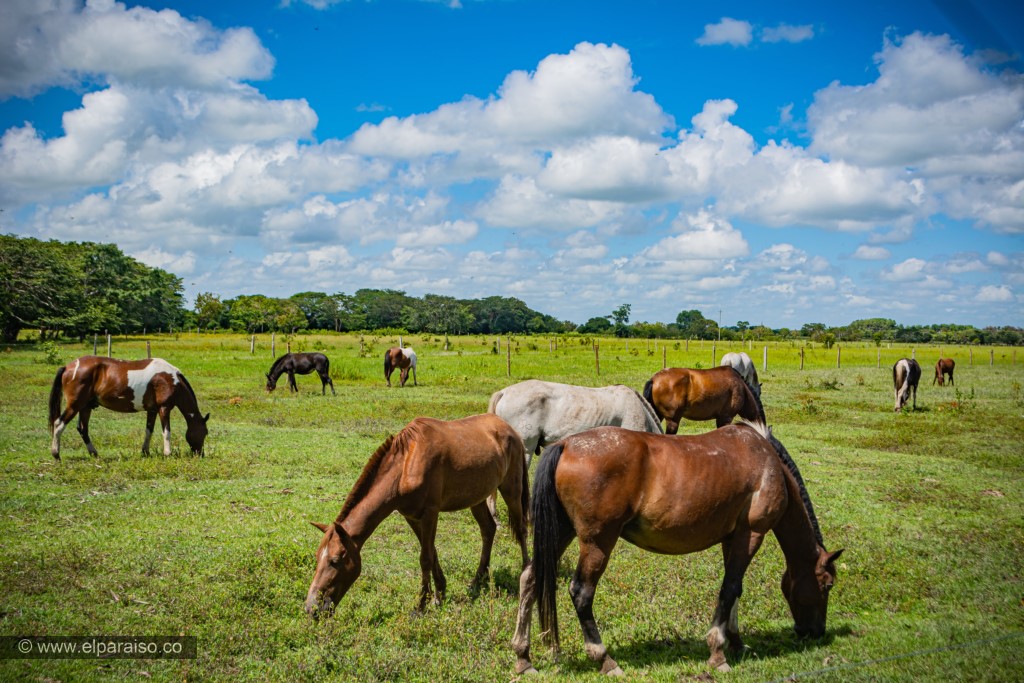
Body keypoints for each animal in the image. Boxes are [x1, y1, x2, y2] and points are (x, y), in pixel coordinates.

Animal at [48, 356, 209, 461]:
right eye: (205, 433)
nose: (200, 454)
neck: (172, 380)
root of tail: (68, 367)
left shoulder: (152, 410)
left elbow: (149, 431)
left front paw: (145, 452)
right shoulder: (164, 409)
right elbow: (166, 432)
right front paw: (167, 453)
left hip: (85, 407)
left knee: (83, 429)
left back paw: (94, 454)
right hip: (75, 406)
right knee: (59, 424)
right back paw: (56, 454)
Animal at [305, 413, 529, 617]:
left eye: (335, 561)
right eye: (317, 557)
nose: (311, 608)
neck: (405, 467)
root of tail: (510, 429)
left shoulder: (430, 513)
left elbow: (425, 558)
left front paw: (421, 606)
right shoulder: (411, 516)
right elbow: (431, 551)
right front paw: (439, 594)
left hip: (511, 490)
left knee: (521, 529)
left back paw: (526, 572)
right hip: (477, 498)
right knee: (488, 529)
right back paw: (477, 580)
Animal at [511, 423, 842, 675]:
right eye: (826, 585)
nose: (815, 632)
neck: (766, 462)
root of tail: (566, 444)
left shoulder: (732, 538)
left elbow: (734, 591)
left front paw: (736, 641)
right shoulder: (752, 534)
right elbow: (730, 589)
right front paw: (718, 652)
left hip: (561, 532)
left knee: (529, 578)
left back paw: (523, 657)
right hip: (598, 542)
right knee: (581, 592)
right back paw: (604, 659)